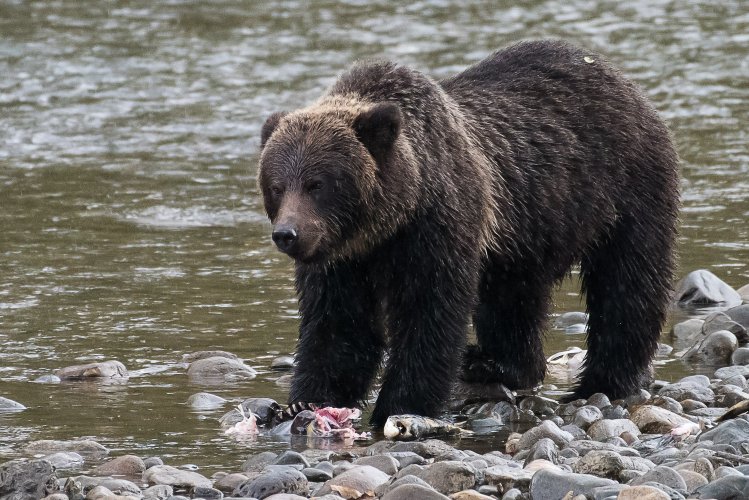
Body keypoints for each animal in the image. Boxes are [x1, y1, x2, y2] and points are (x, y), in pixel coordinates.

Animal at [258, 40, 676, 426]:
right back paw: (494, 363)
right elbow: (339, 328)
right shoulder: (339, 260)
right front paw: (304, 402)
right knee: (512, 298)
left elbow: (430, 314)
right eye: (276, 186)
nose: (287, 234)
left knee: (626, 284)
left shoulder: (437, 224)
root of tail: (622, 81)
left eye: (317, 184)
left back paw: (602, 382)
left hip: (625, 189)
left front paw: (399, 405)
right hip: (522, 234)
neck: (385, 226)